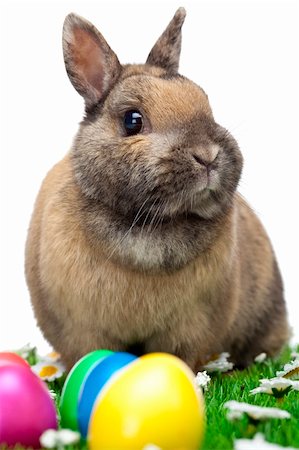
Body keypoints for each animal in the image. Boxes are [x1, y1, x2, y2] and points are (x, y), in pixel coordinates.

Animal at [25, 8, 290, 370]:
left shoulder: (191, 326)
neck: (148, 222)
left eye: (206, 102)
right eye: (132, 120)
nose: (207, 156)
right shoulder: (80, 328)